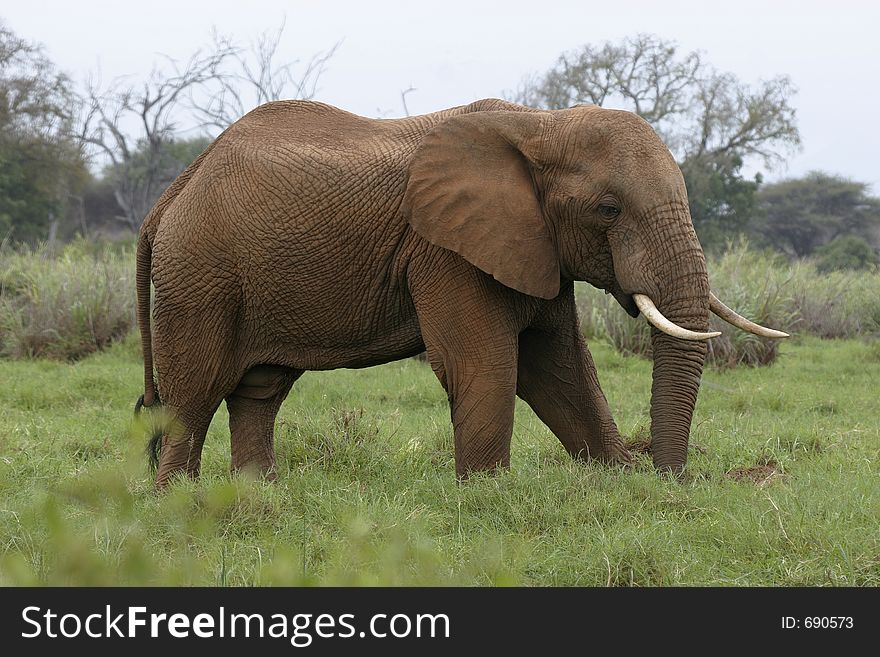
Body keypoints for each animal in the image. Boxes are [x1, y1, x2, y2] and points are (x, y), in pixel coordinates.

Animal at [136, 98, 784, 486]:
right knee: (193, 395)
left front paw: (615, 483)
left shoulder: (532, 246)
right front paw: (485, 495)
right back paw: (182, 503)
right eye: (608, 208)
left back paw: (257, 496)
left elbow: (561, 368)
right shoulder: (446, 250)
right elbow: (486, 365)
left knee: (259, 391)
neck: (540, 124)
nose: (669, 477)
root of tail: (173, 190)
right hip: (199, 274)